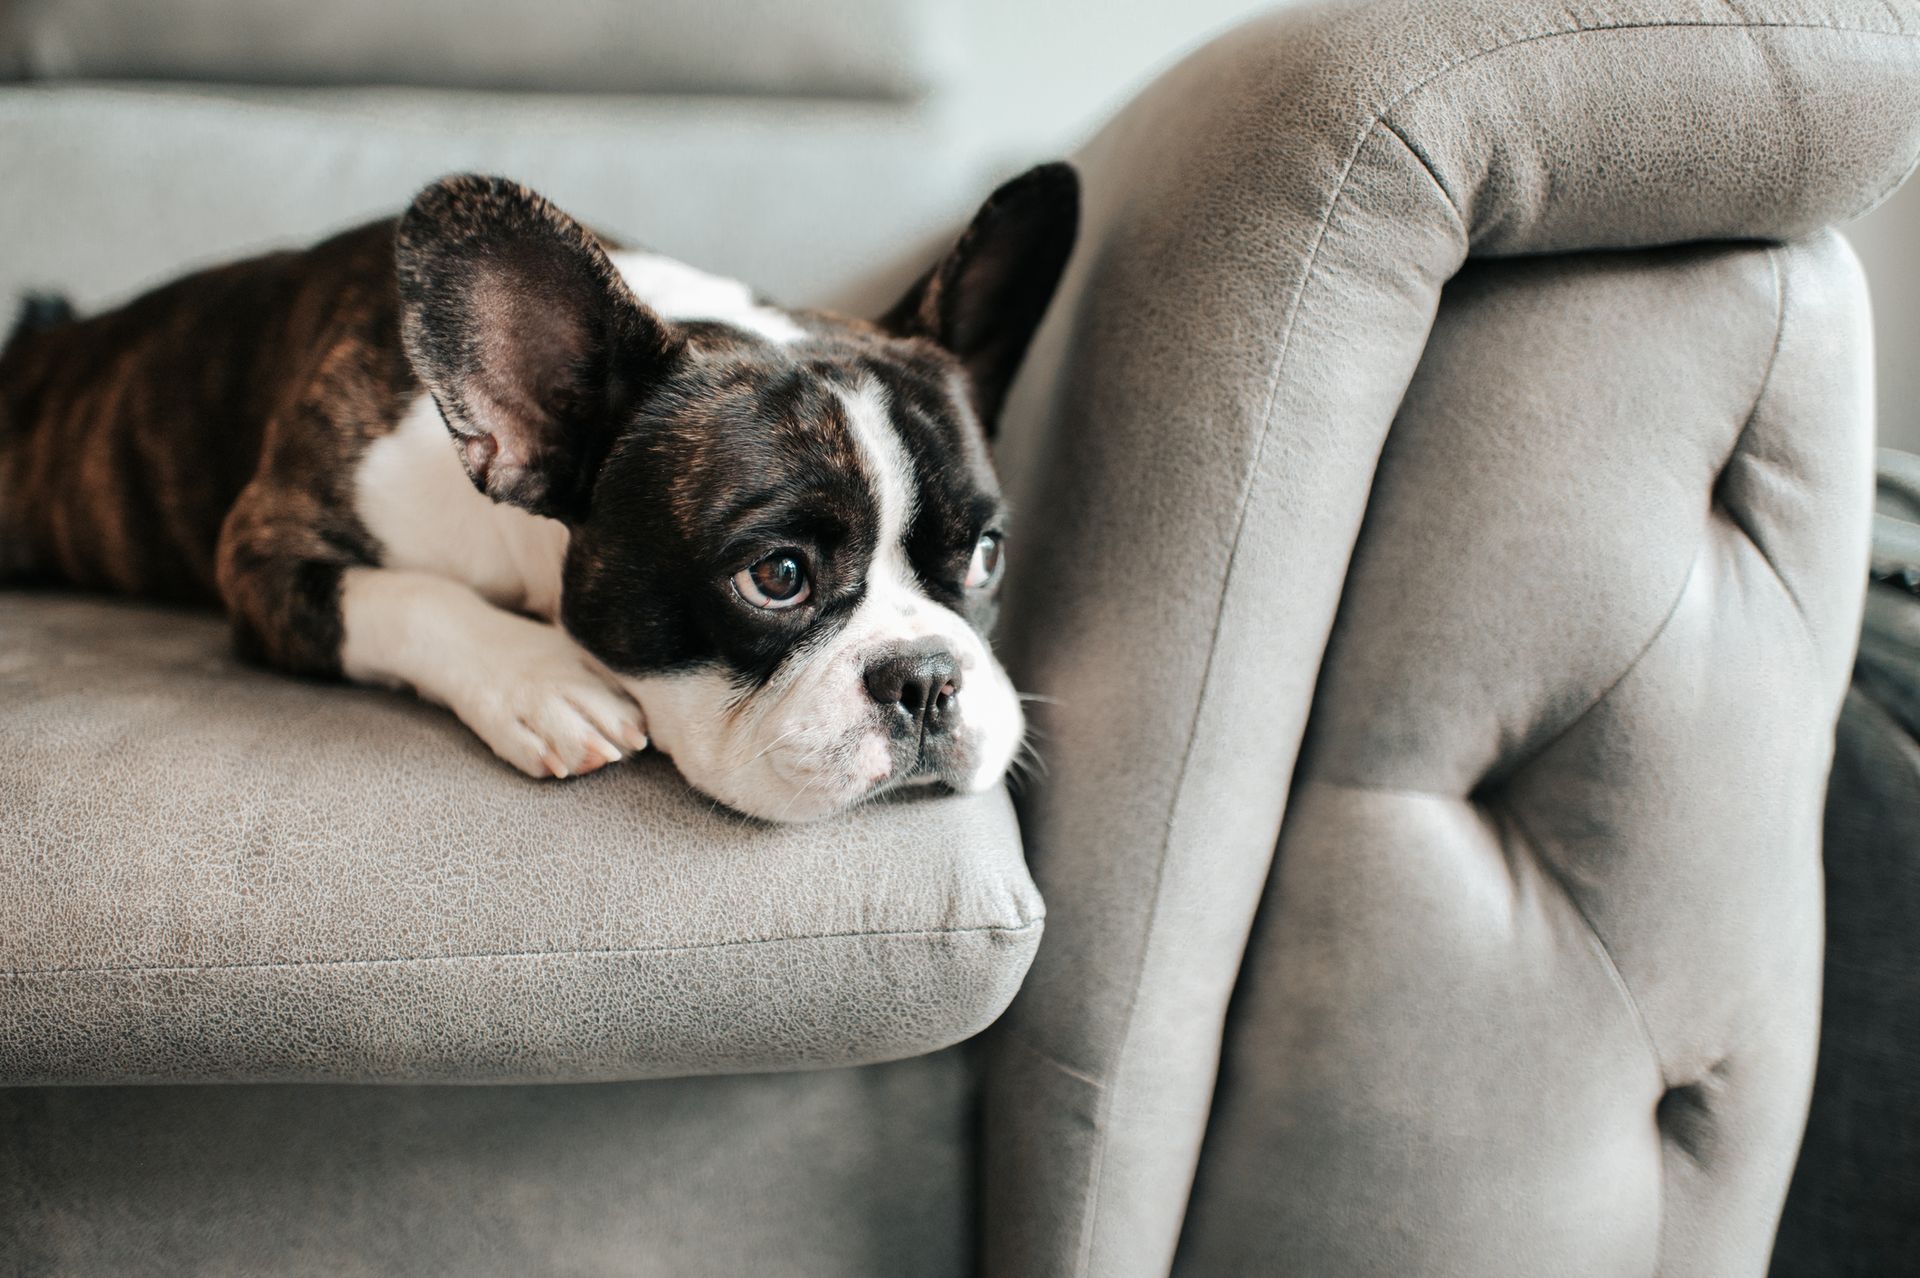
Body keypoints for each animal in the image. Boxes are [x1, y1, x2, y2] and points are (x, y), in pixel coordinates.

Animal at [0, 164, 1082, 817]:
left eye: (986, 555)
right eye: (777, 577)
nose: (927, 678)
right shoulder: (267, 550)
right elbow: (407, 595)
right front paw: (541, 680)